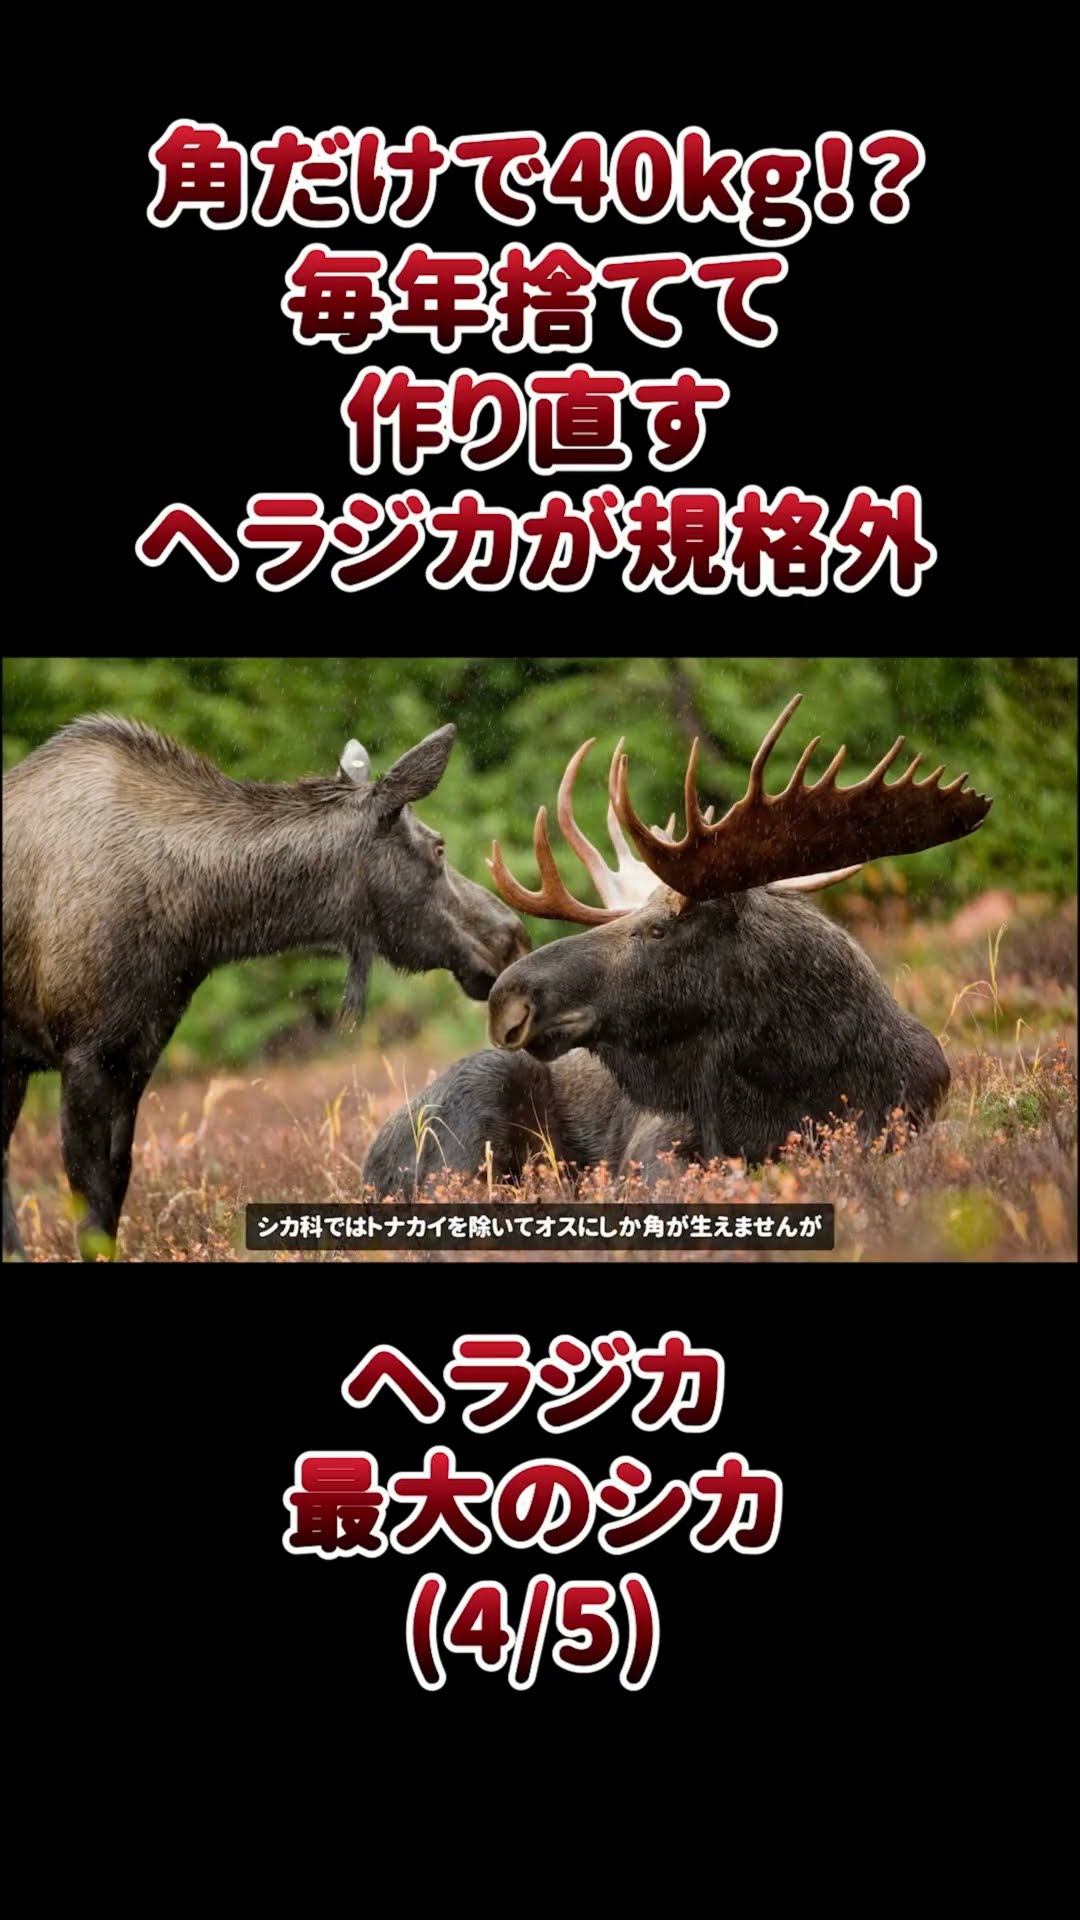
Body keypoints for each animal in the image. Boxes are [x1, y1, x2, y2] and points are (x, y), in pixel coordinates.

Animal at [2, 716, 528, 1259]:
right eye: (438, 846)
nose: (512, 936)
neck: (193, 925)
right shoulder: (82, 1052)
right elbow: (88, 1200)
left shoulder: (136, 1052)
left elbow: (115, 1184)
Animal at [362, 696, 992, 1197]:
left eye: (659, 929)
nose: (507, 998)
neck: (804, 1072)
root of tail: (368, 1164)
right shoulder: (657, 1144)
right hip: (474, 1107)